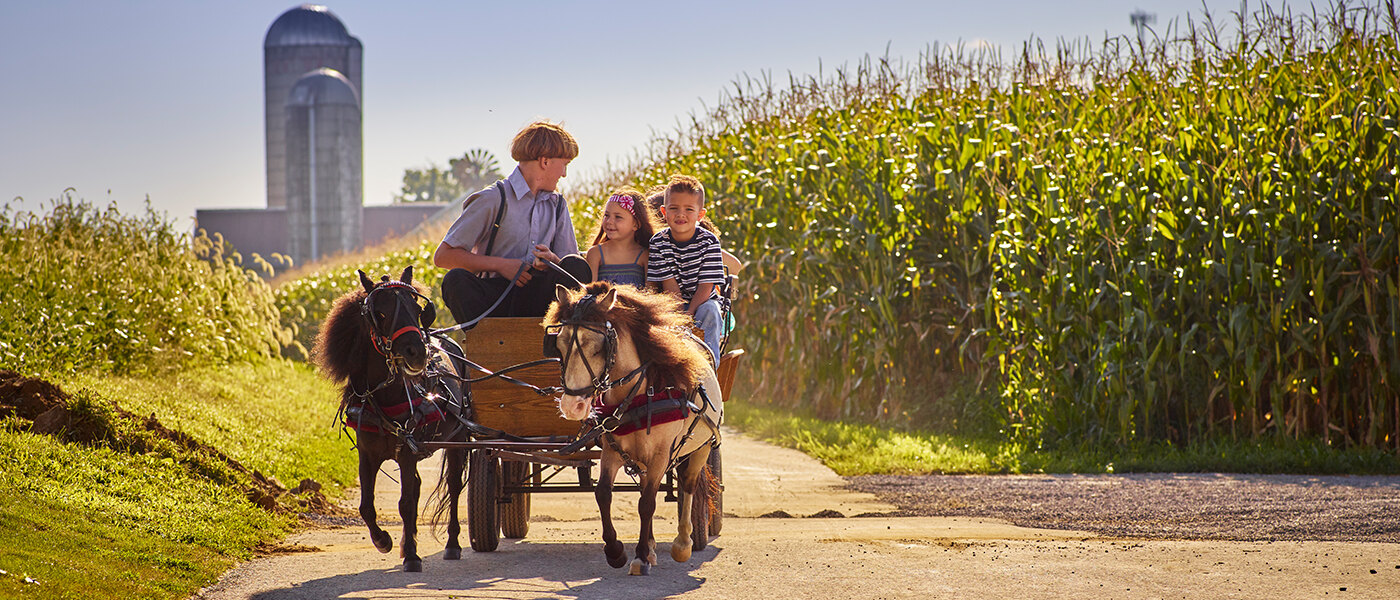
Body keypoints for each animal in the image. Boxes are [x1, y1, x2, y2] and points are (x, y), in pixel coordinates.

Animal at [313, 267, 470, 570]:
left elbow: (406, 503)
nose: (418, 352)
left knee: (455, 487)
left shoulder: (406, 453)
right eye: (380, 313)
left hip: (459, 439)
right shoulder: (368, 454)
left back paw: (453, 543)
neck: (385, 395)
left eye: (417, 308)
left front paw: (411, 555)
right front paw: (384, 540)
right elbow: (366, 505)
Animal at [546, 281, 722, 576]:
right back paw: (650, 546)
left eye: (598, 347)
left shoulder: (662, 454)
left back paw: (683, 543)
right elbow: (604, 494)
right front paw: (616, 551)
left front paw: (639, 557)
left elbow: (648, 503)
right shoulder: (611, 450)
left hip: (702, 446)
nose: (572, 406)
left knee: (688, 483)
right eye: (558, 345)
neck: (639, 394)